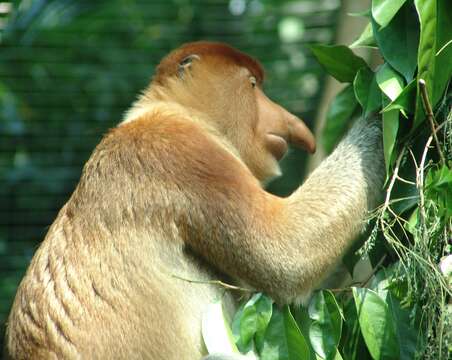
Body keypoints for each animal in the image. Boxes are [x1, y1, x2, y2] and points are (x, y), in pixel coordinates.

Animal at [5, 43, 384, 360]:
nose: (290, 123)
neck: (177, 111)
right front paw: (384, 112)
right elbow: (289, 253)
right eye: (252, 85)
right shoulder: (187, 155)